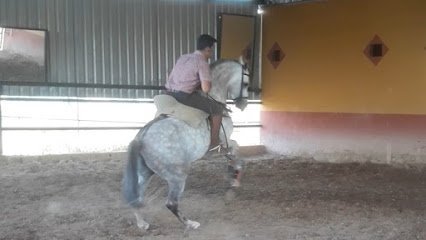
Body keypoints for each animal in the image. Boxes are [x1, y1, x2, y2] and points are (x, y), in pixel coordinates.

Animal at [121, 57, 250, 231]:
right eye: (246, 83)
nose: (243, 104)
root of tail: (141, 138)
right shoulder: (225, 141)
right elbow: (237, 153)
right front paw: (234, 181)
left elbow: (234, 156)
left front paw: (232, 178)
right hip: (177, 176)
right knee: (171, 203)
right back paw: (190, 223)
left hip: (145, 172)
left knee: (137, 196)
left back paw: (143, 223)